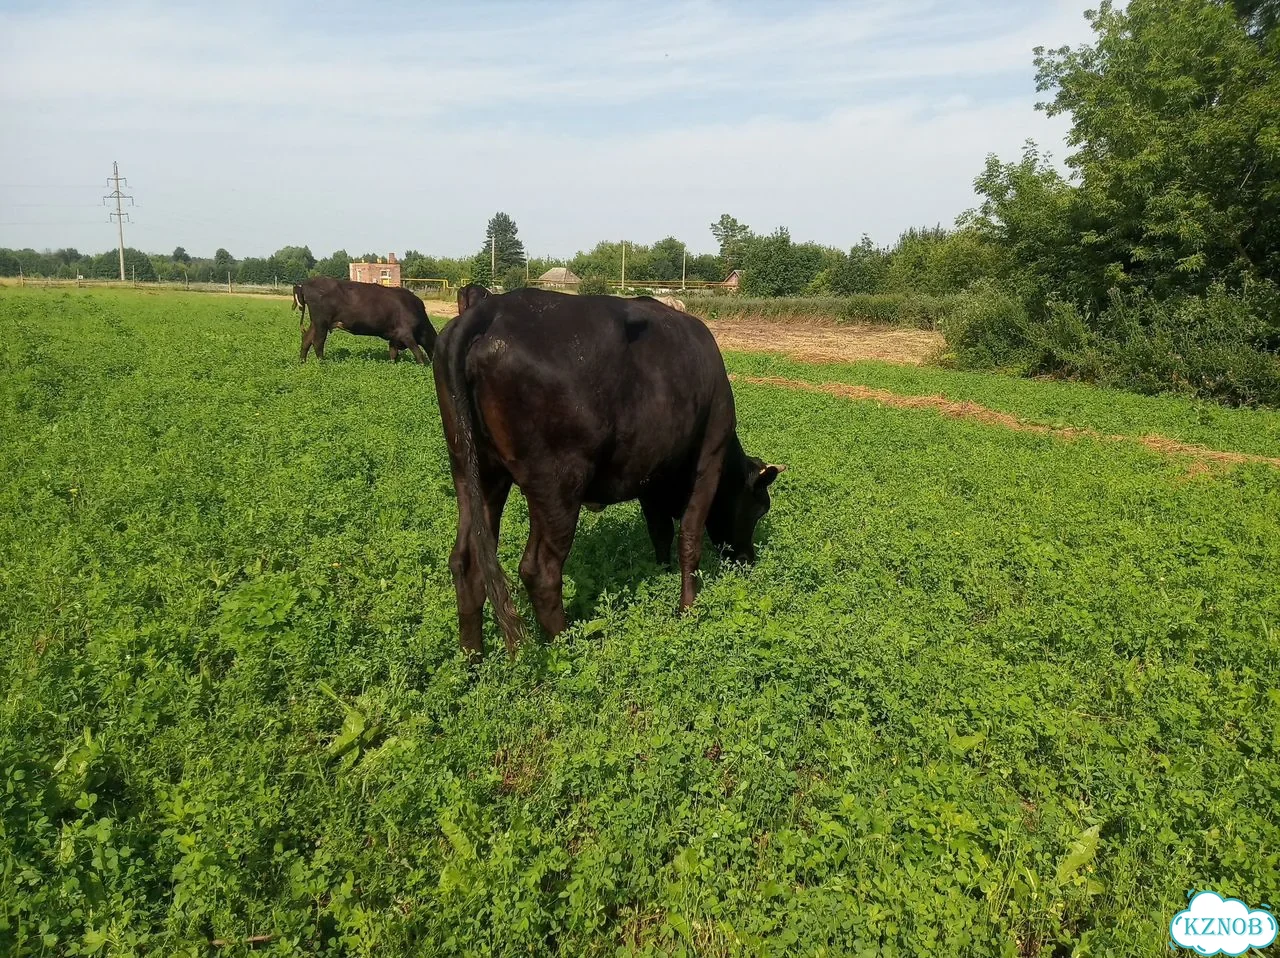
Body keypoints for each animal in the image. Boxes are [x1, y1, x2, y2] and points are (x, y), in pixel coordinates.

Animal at [294, 276, 437, 364]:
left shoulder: (394, 337)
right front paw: (423, 365)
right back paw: (322, 363)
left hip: (316, 323)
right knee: (318, 342)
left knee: (306, 340)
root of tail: (304, 284)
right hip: (321, 322)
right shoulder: (406, 334)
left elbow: (393, 355)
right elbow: (418, 354)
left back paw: (302, 362)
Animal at [433, 287, 785, 659]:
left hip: (475, 472)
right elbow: (690, 537)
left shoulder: (650, 475)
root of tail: (495, 308)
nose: (748, 559)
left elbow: (659, 531)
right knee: (540, 570)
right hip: (558, 484)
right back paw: (566, 647)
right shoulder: (709, 459)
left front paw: (661, 572)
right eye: (760, 509)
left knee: (466, 563)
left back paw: (473, 658)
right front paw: (687, 608)